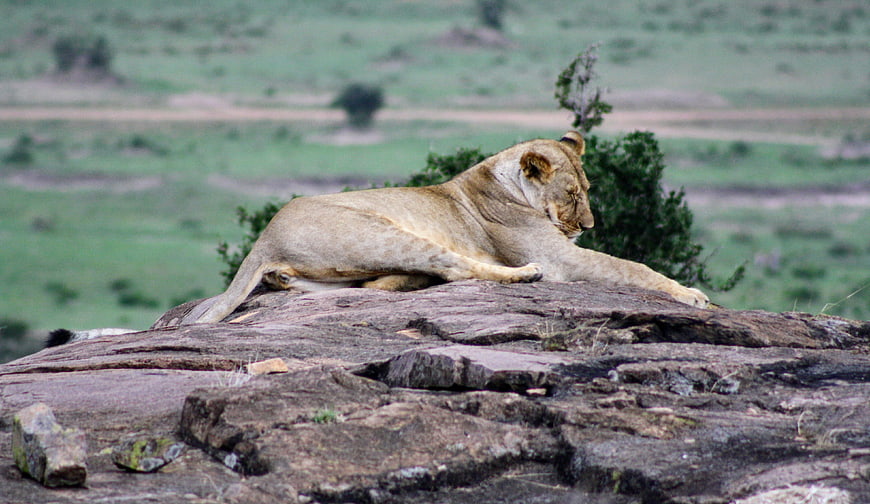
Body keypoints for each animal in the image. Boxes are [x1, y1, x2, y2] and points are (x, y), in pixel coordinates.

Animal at [182, 131, 708, 324]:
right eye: (573, 195)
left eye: (589, 189)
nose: (588, 224)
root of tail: (264, 236)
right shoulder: (560, 257)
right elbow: (632, 267)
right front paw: (691, 295)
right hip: (387, 232)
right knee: (457, 268)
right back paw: (521, 276)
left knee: (364, 285)